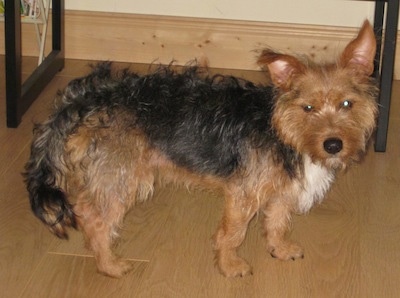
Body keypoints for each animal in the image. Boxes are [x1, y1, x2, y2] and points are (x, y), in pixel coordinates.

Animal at [25, 20, 378, 278]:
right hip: (121, 176)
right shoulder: (243, 193)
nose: (333, 145)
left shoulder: (280, 191)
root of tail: (91, 95)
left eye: (347, 104)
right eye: (308, 108)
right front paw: (230, 266)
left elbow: (277, 222)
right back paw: (110, 265)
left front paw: (279, 249)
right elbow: (233, 233)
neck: (282, 132)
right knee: (94, 218)